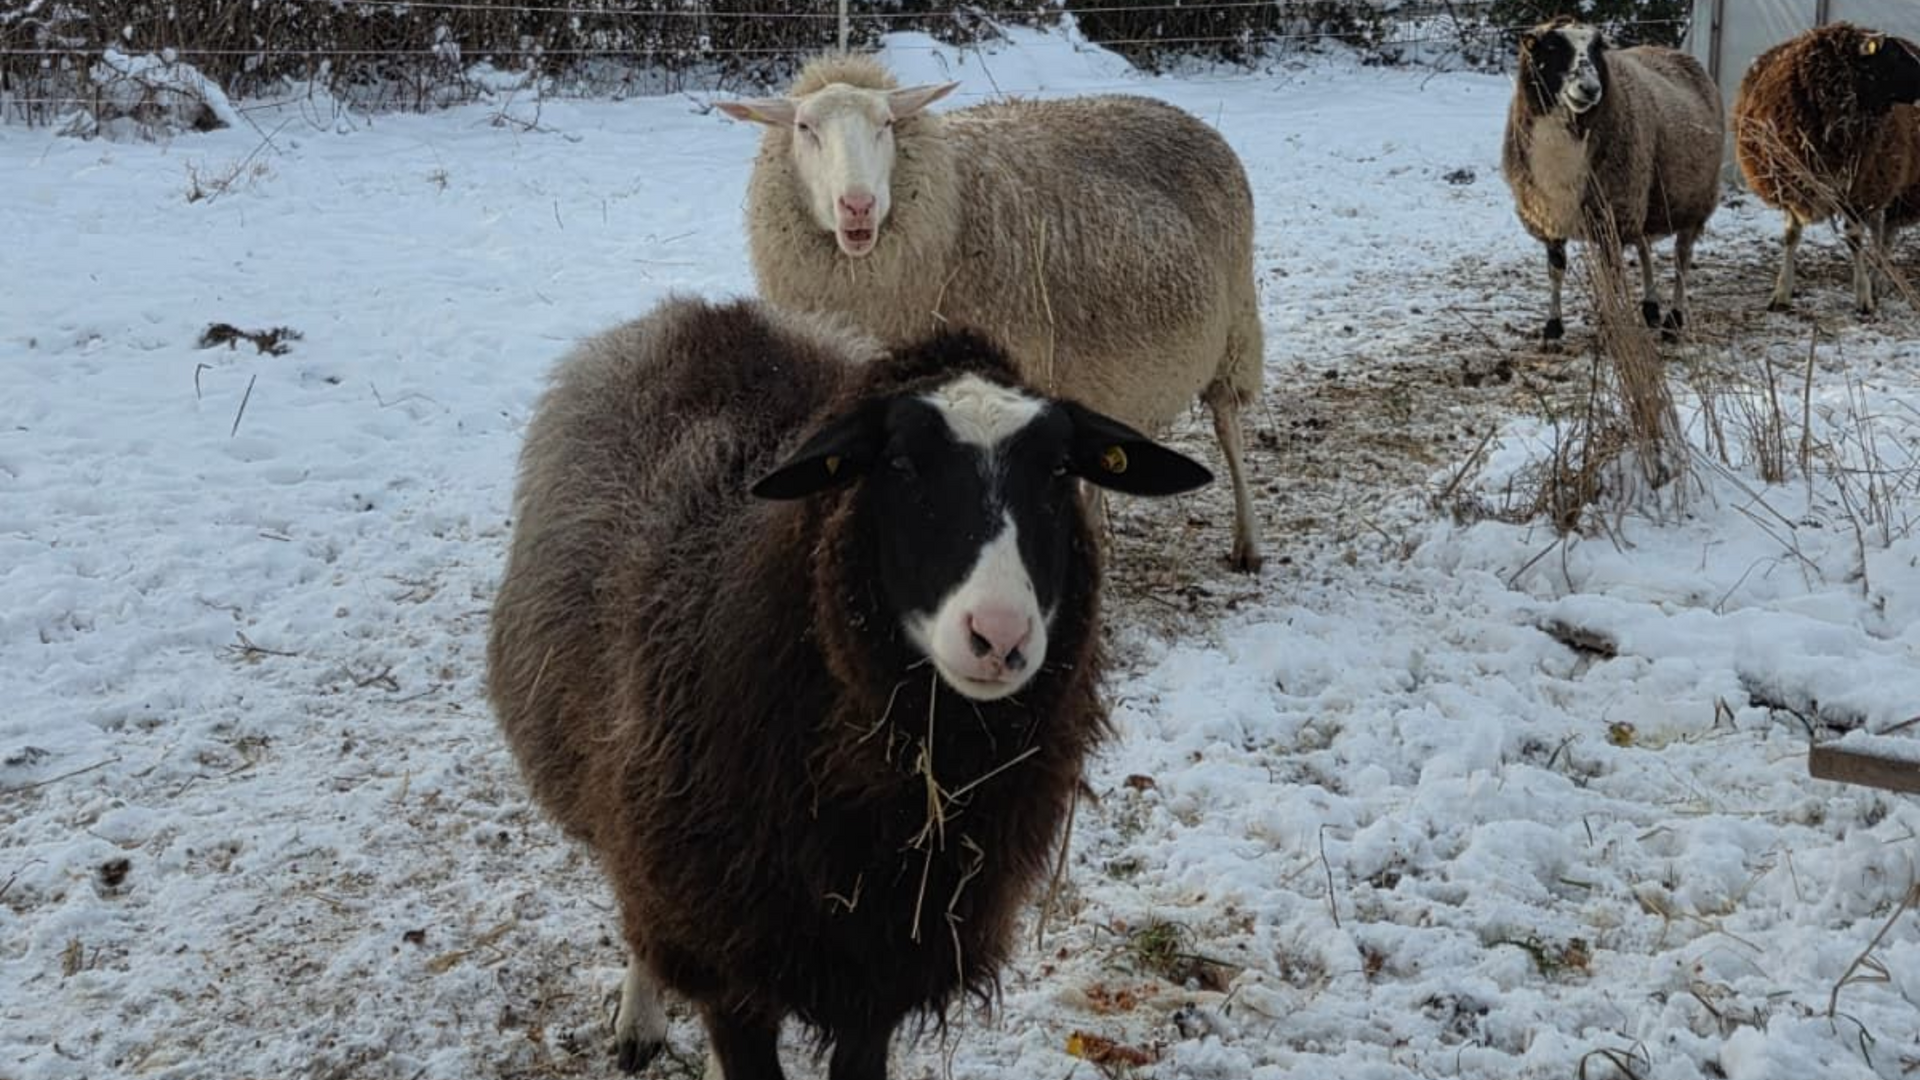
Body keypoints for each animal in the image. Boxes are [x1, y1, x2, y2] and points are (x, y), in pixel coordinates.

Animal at [486, 296, 1212, 1080]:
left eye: (1057, 471)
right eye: (898, 464)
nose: (999, 636)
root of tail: (706, 311)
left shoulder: (885, 970)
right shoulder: (724, 944)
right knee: (641, 914)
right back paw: (639, 1021)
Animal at [716, 54, 1267, 572]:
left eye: (886, 123)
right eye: (804, 128)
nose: (858, 206)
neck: (948, 208)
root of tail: (1183, 115)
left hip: (1235, 333)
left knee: (1229, 429)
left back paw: (1247, 543)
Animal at [1501, 17, 1725, 341]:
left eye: (1597, 49)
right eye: (1553, 47)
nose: (1590, 88)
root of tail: (1673, 52)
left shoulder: (1611, 219)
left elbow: (1611, 279)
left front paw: (1612, 325)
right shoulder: (1550, 217)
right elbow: (1556, 271)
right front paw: (1553, 326)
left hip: (1691, 200)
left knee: (1681, 260)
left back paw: (1673, 321)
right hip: (1643, 196)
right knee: (1644, 246)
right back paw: (1650, 307)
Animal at [1733, 24, 1920, 314]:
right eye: (1895, 56)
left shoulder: (1858, 188)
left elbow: (1854, 239)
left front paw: (1864, 297)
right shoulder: (1792, 184)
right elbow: (1791, 236)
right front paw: (1782, 293)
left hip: (1893, 182)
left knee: (1886, 236)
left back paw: (1879, 280)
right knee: (1880, 232)